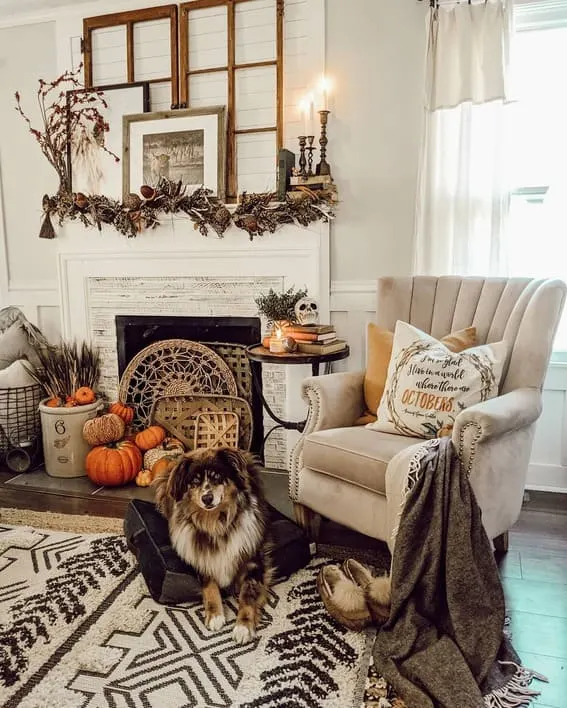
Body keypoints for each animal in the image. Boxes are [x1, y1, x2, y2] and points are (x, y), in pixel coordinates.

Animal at [153, 450, 272, 644]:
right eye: (194, 481)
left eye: (217, 477)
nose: (207, 498)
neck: (216, 523)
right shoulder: (201, 558)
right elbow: (209, 585)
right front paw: (215, 615)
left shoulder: (254, 561)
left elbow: (247, 594)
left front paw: (243, 626)